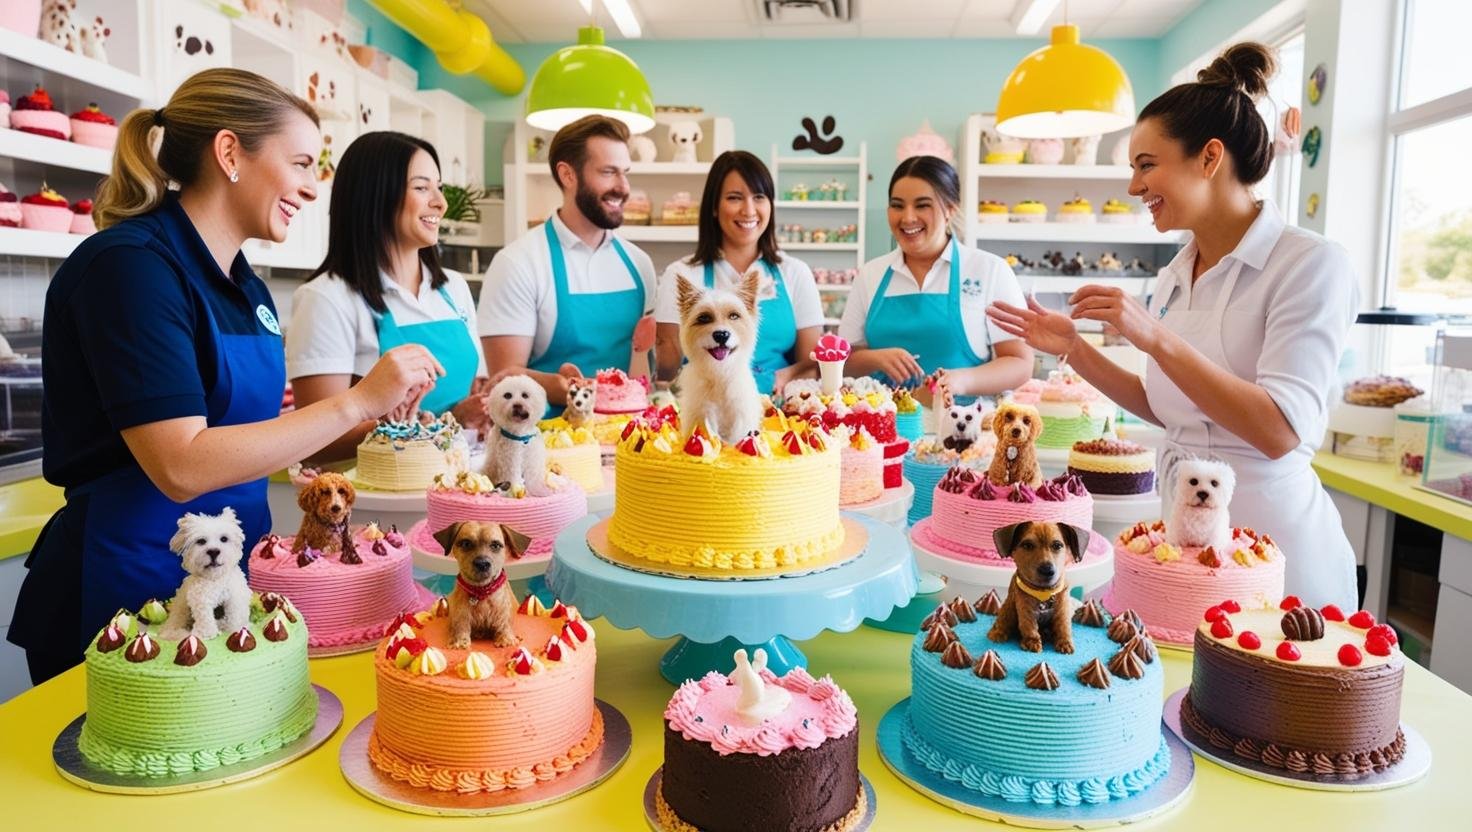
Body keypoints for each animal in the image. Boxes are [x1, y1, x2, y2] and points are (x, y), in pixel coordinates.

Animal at [163, 503, 254, 639]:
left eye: (224, 539)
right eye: (201, 541)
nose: (214, 551)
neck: (215, 578)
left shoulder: (235, 597)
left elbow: (235, 615)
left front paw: (236, 629)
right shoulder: (200, 600)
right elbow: (205, 618)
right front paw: (207, 633)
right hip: (180, 608)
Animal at [432, 518, 532, 647]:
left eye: (495, 545)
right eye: (466, 543)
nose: (482, 564)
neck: (481, 591)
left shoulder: (503, 615)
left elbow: (504, 626)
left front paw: (506, 640)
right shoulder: (461, 616)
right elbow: (460, 627)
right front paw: (459, 642)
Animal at [674, 269, 765, 444]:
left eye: (734, 316)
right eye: (704, 318)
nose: (722, 334)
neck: (719, 373)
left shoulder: (740, 412)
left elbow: (736, 437)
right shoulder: (702, 412)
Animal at [983, 521, 1089, 650]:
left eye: (1057, 545)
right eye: (1028, 545)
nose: (1047, 570)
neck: (1044, 593)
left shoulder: (1062, 608)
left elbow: (1063, 626)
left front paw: (1065, 642)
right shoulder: (1025, 608)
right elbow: (1029, 626)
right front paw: (1032, 642)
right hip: (1009, 608)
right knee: (1003, 620)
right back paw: (997, 632)